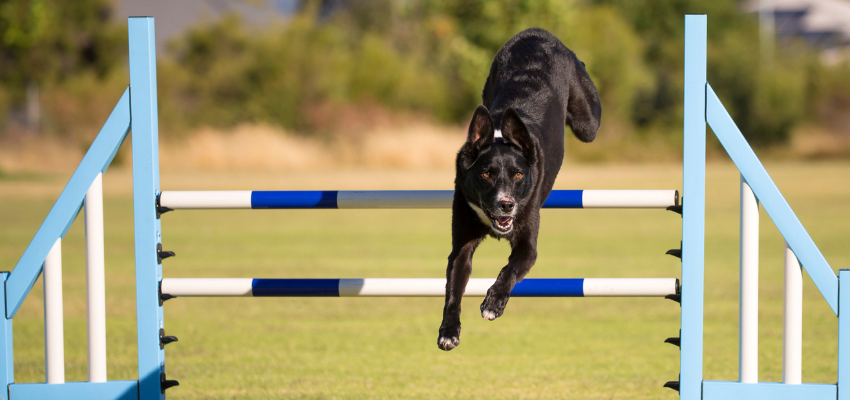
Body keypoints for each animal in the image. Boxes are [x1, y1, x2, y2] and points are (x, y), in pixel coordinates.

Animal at [440, 27, 600, 350]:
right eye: (486, 174)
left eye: (517, 174)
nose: (506, 204)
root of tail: (536, 32)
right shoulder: (461, 244)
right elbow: (453, 290)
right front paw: (448, 331)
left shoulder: (528, 245)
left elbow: (510, 269)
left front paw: (493, 303)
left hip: (587, 121)